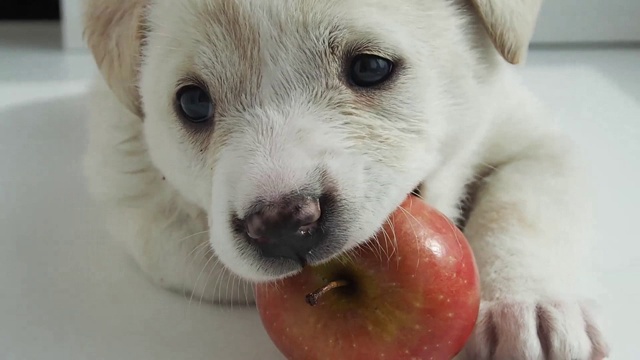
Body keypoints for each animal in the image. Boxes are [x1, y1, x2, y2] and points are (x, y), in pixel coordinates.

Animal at [81, 0, 608, 358]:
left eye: (371, 67)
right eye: (192, 103)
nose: (283, 225)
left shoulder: (536, 144)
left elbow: (517, 213)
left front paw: (528, 308)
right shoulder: (135, 200)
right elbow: (214, 268)